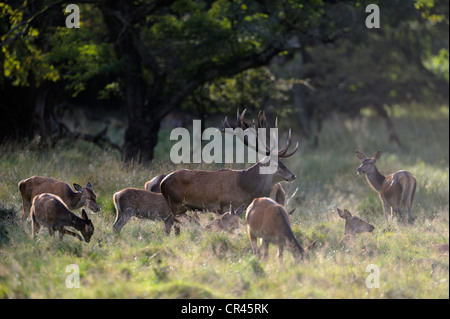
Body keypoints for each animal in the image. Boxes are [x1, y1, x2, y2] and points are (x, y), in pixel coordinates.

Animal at [162, 110, 298, 235]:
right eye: (275, 164)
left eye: (282, 162)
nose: (293, 175)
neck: (244, 188)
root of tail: (162, 183)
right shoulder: (225, 205)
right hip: (175, 203)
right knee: (172, 221)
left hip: (180, 207)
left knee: (169, 221)